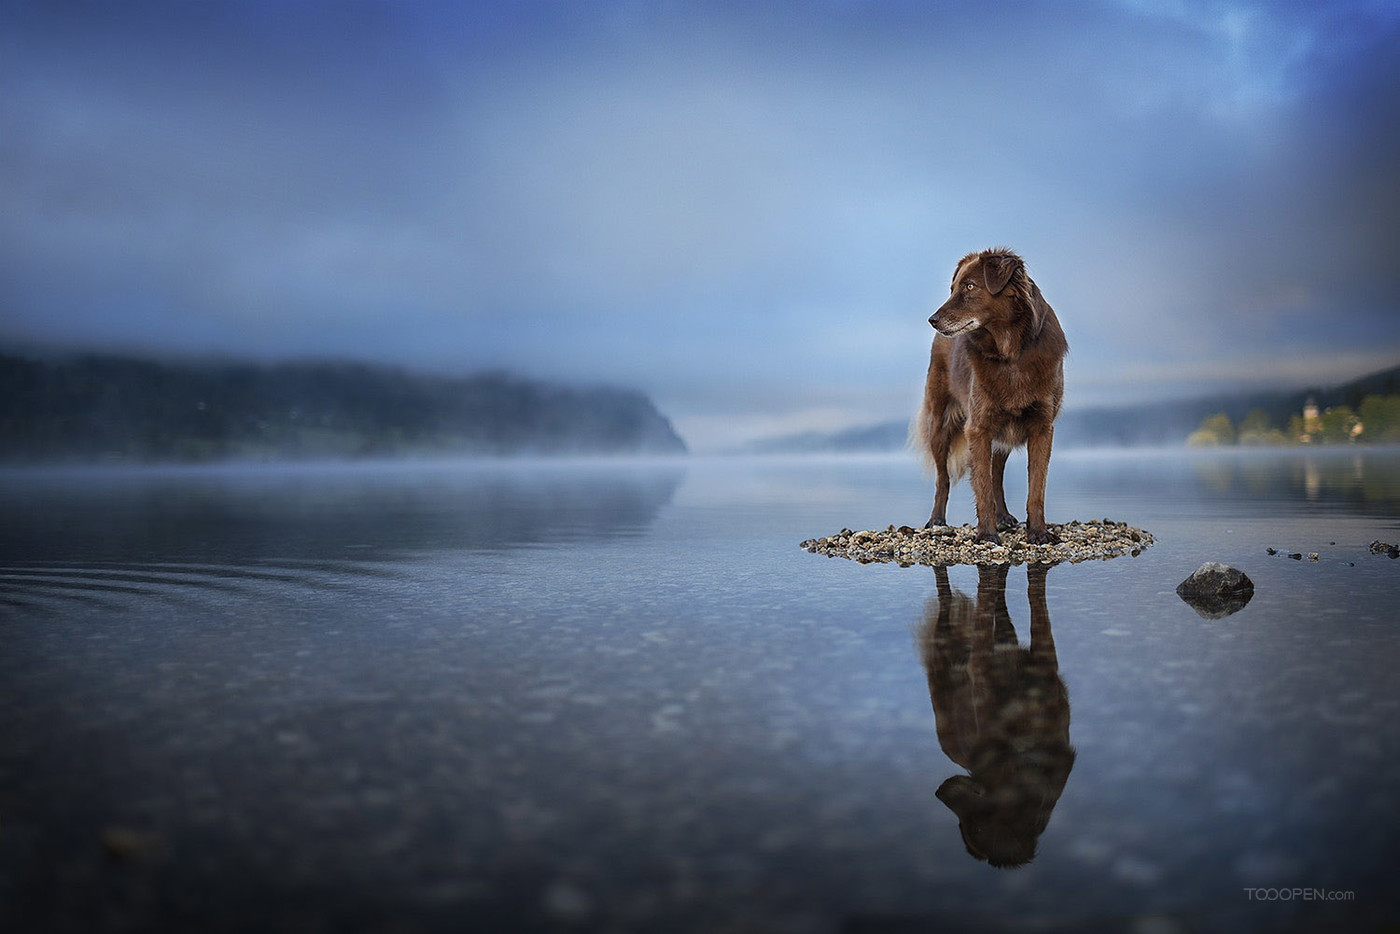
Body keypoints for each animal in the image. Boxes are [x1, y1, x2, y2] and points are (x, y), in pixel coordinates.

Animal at [912, 247, 1064, 543]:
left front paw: (1038, 532)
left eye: (970, 286)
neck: (1011, 353)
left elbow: (1035, 488)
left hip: (1002, 435)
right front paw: (986, 534)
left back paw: (1003, 516)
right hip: (940, 423)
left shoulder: (1042, 427)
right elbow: (981, 485)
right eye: (952, 289)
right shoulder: (978, 427)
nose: (932, 321)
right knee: (942, 479)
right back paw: (936, 520)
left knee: (997, 475)